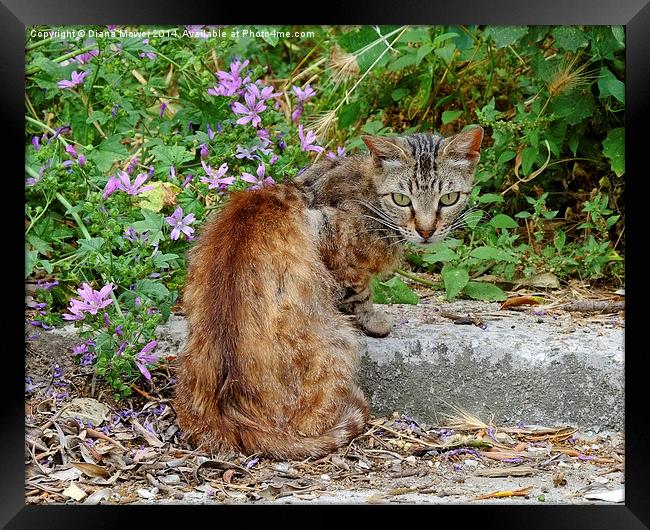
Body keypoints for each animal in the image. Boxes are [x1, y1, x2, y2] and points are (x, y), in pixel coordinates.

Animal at [172, 125, 480, 458]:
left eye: (448, 199)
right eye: (401, 199)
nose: (426, 231)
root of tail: (233, 418)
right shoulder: (332, 239)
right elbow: (357, 291)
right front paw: (374, 320)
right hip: (340, 344)